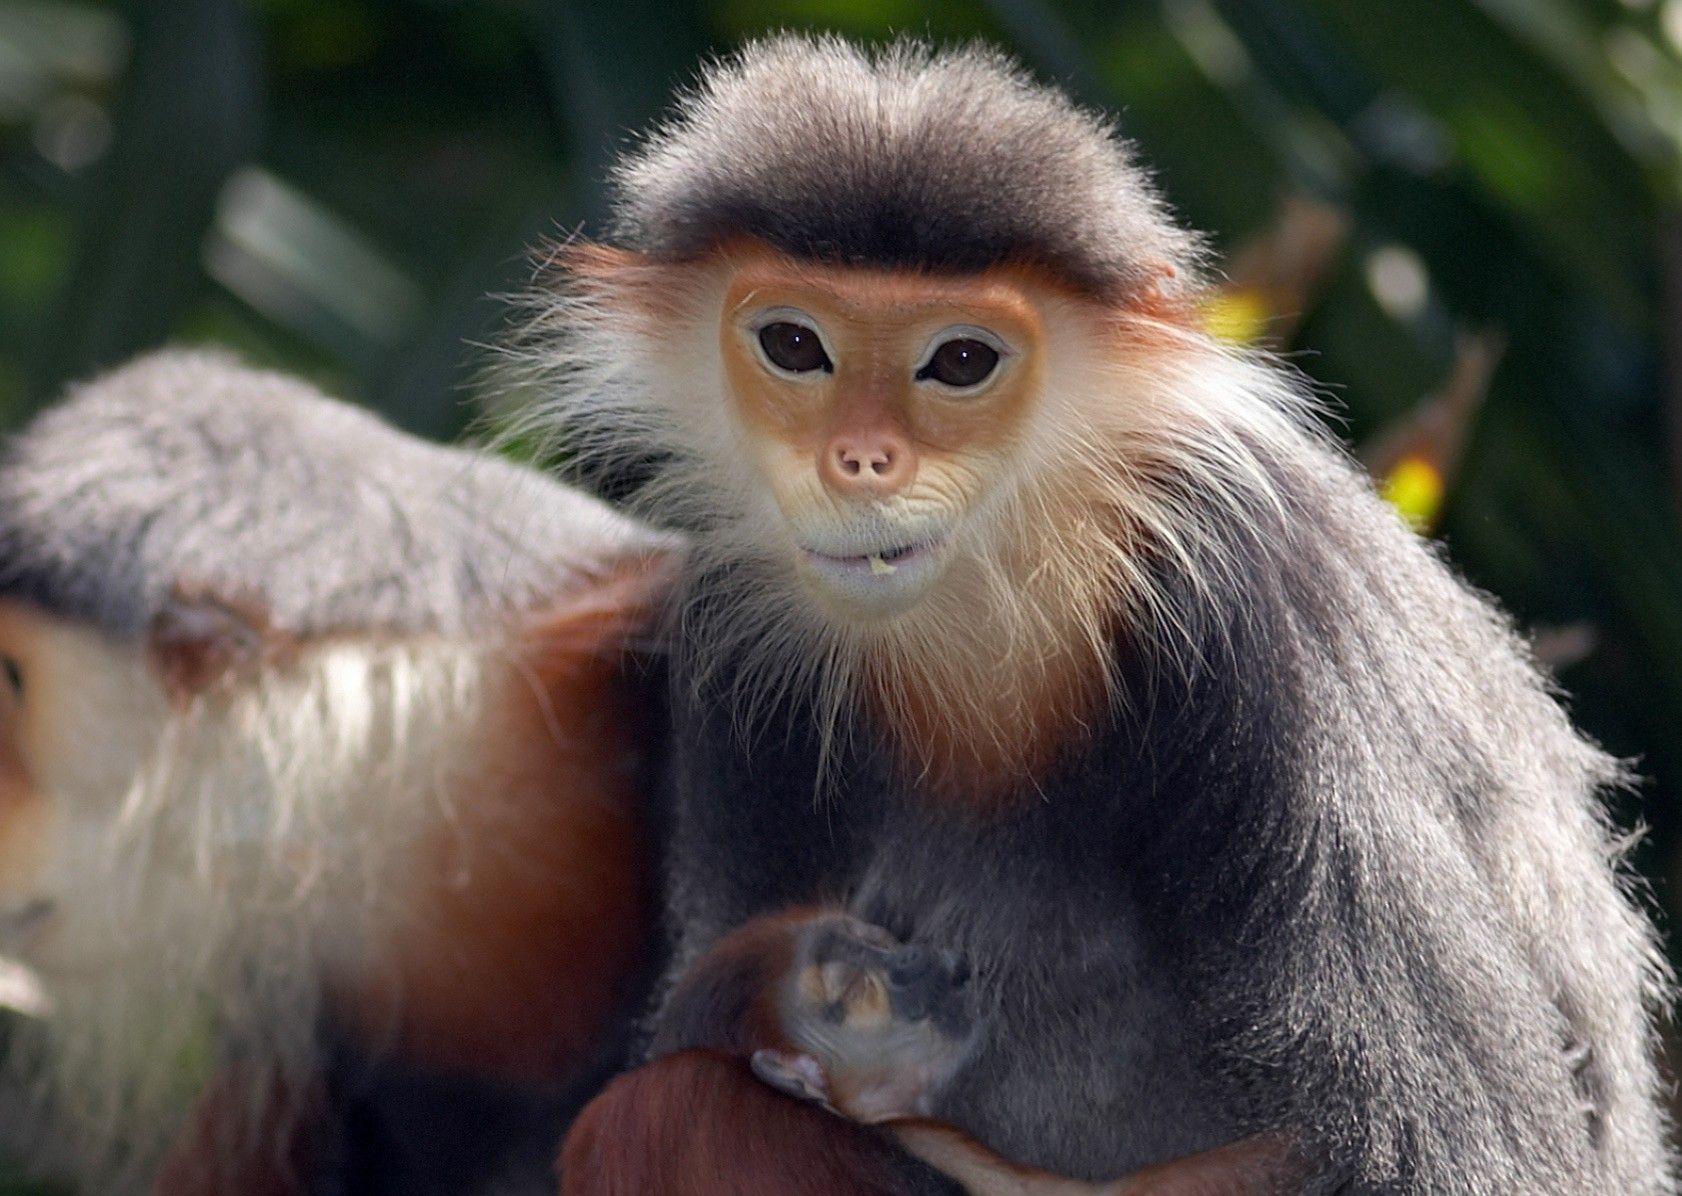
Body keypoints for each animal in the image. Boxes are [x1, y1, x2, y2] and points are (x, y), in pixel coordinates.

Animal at [511, 34, 1676, 1195]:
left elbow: (1452, 1153)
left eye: (960, 361)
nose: (861, 457)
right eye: (795, 345)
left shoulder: (1266, 614)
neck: (1018, 594)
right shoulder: (728, 626)